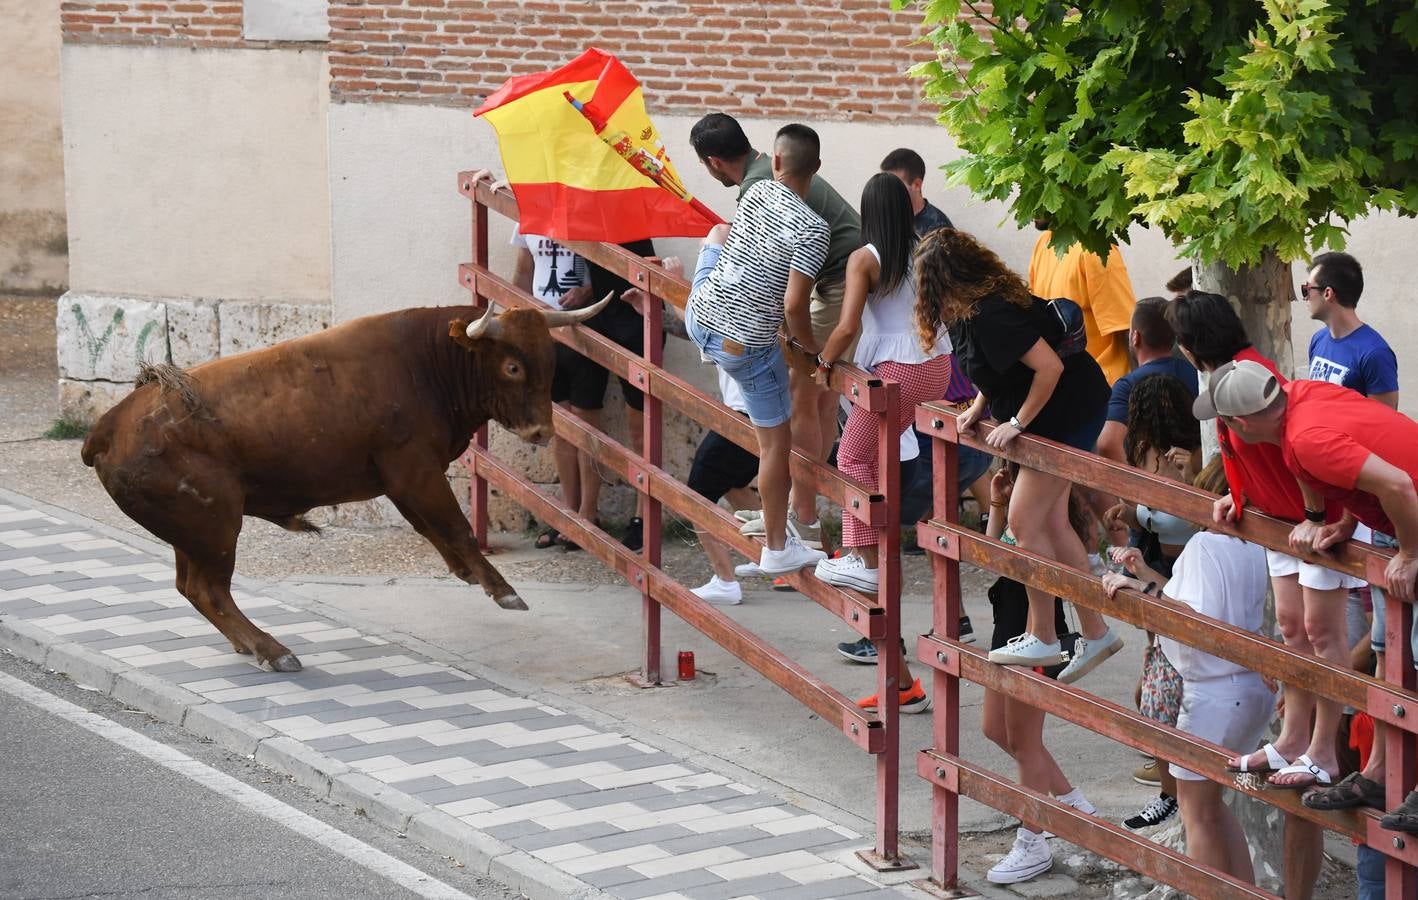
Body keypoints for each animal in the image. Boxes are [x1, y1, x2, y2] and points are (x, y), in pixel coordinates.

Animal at [77, 296, 609, 668]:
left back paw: (251, 646)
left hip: (193, 534)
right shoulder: (414, 470)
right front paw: (502, 590)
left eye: (551, 363)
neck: (426, 363)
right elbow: (454, 526)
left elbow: (436, 530)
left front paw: (468, 574)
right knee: (209, 590)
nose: (541, 431)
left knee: (191, 587)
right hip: (216, 527)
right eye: (513, 366)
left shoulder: (405, 479)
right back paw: (273, 651)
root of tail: (107, 428)